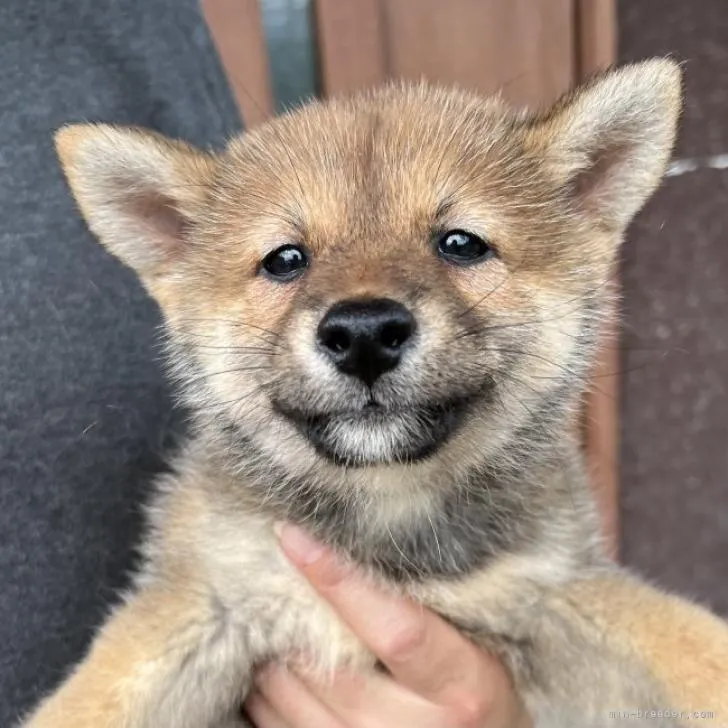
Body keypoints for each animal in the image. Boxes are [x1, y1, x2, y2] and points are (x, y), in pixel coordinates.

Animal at [21, 58, 728, 728]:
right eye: (285, 259)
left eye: (460, 243)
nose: (363, 334)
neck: (385, 519)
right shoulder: (205, 600)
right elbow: (87, 705)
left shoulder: (553, 592)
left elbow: (691, 647)